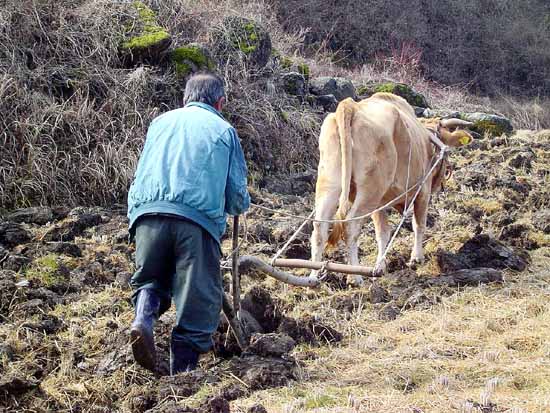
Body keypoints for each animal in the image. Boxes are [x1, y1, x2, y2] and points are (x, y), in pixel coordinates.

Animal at [310, 91, 474, 284]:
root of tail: (351, 106)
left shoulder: (380, 205)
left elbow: (383, 233)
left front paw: (380, 266)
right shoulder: (423, 192)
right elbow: (419, 225)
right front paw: (416, 258)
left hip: (330, 184)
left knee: (320, 227)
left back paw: (313, 276)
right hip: (370, 191)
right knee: (350, 226)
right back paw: (355, 277)